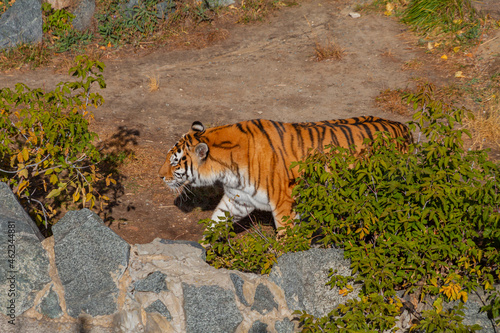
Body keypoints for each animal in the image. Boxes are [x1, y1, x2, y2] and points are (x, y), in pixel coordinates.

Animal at [159, 116, 410, 233]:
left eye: (174, 162)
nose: (160, 176)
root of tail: (403, 127)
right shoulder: (237, 200)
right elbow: (215, 222)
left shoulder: (283, 204)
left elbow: (285, 239)